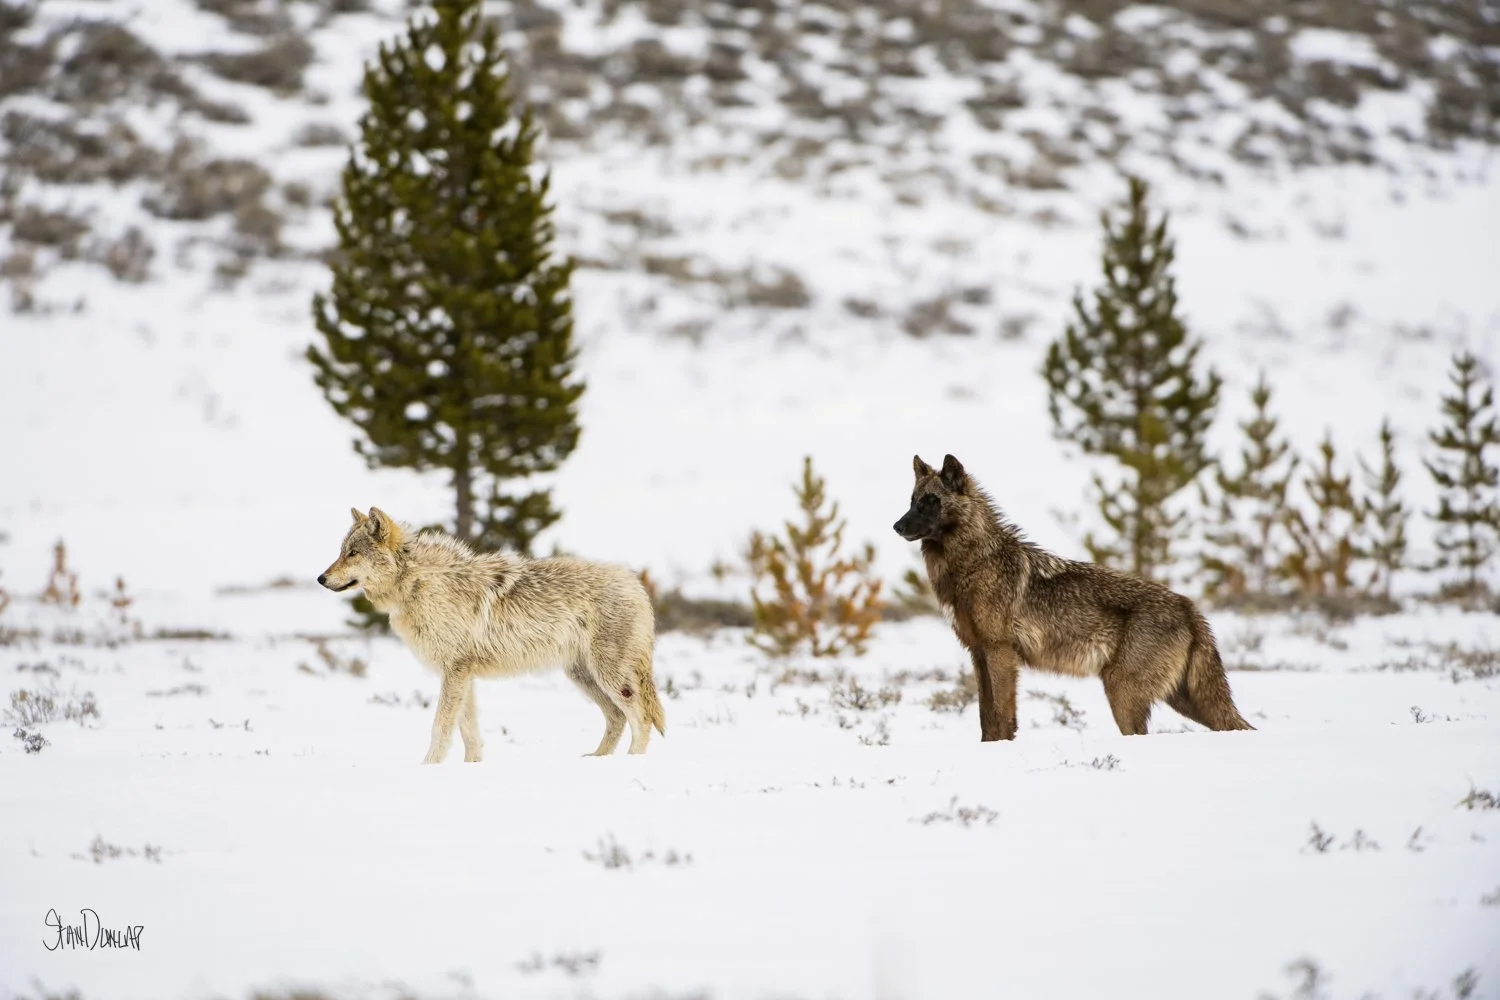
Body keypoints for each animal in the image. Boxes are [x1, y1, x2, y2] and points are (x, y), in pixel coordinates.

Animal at [318, 508, 665, 763]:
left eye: (352, 553)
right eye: (341, 551)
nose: (321, 578)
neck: (417, 583)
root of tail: (636, 584)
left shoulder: (456, 671)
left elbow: (440, 727)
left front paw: (428, 767)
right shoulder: (462, 674)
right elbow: (469, 732)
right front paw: (471, 767)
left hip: (608, 677)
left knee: (641, 717)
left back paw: (631, 762)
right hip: (583, 677)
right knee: (617, 718)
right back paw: (597, 760)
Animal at [894, 455, 1253, 741]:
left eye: (930, 502)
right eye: (911, 500)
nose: (896, 526)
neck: (973, 563)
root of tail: (1189, 606)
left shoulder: (1000, 652)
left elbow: (1001, 717)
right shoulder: (978, 654)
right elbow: (986, 719)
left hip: (1123, 693)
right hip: (1180, 700)